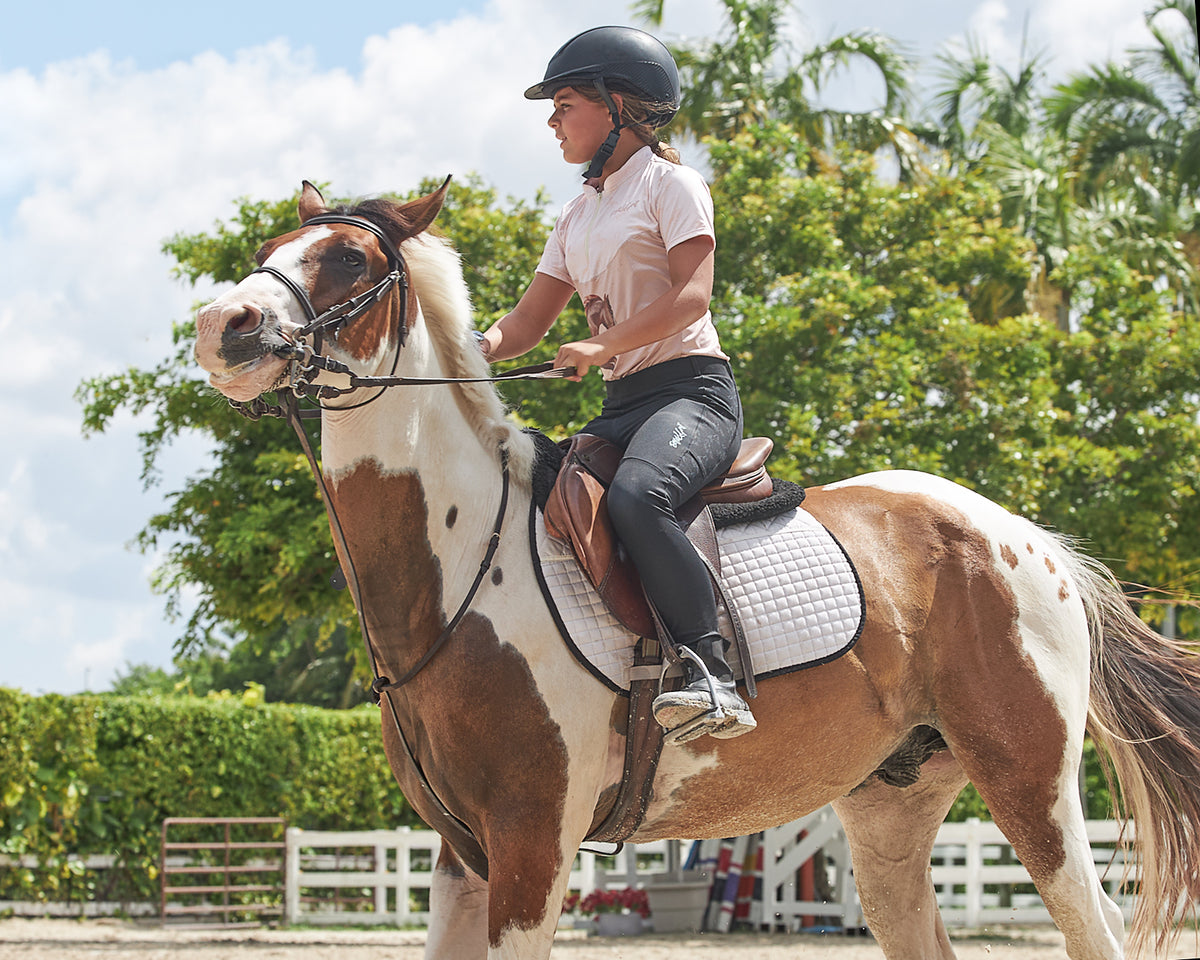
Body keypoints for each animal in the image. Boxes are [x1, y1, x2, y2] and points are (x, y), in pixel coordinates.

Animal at [193, 179, 1200, 959]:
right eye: (269, 248)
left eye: (350, 260)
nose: (222, 326)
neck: (460, 568)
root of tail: (1029, 538)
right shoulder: (461, 858)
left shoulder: (531, 848)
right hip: (892, 813)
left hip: (1033, 789)